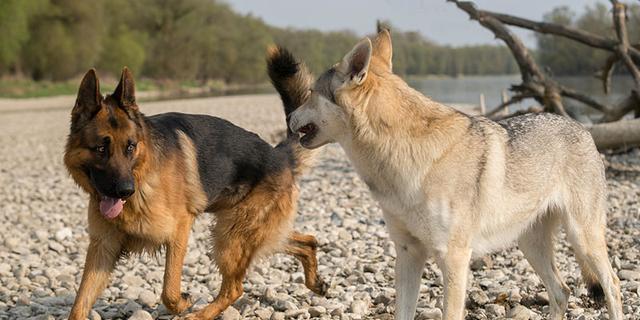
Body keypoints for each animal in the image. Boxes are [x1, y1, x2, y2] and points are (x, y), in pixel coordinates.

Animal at [64, 60, 322, 318]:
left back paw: (201, 314)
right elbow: (80, 302)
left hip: (231, 237)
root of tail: (280, 156)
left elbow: (169, 289)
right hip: (249, 232)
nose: (126, 190)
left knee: (235, 288)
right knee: (308, 241)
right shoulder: (103, 249)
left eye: (130, 147)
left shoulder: (179, 229)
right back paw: (316, 282)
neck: (144, 176)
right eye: (100, 149)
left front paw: (182, 303)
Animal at [284, 28, 624, 318]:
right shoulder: (407, 254)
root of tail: (583, 128)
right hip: (531, 245)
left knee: (613, 285)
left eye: (311, 92)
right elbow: (402, 312)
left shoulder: (454, 258)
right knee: (561, 292)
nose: (288, 117)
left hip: (582, 238)